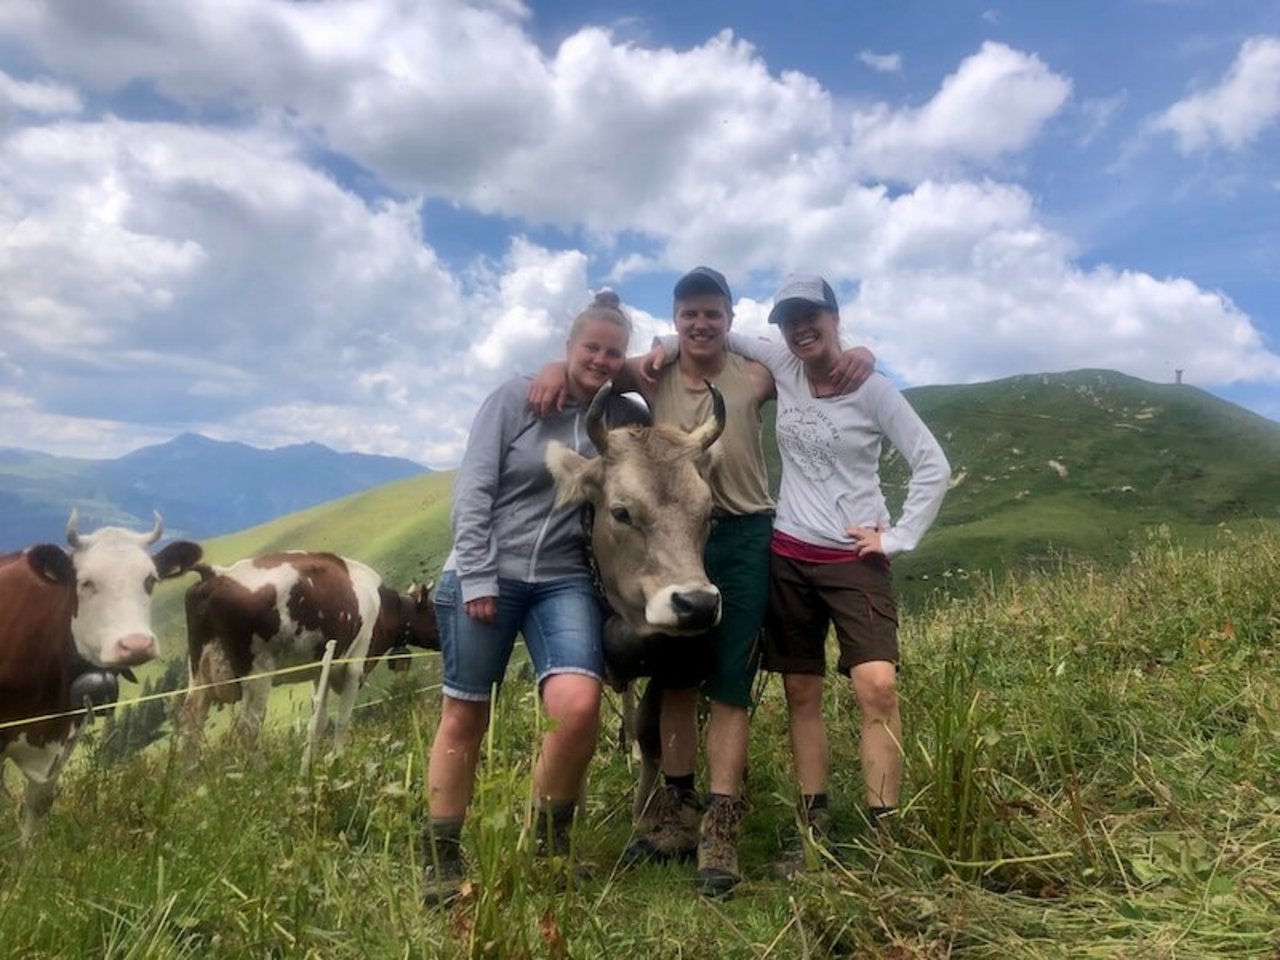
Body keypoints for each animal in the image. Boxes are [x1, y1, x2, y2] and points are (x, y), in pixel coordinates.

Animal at [180, 552, 440, 762]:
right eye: (435, 610)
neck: (383, 609)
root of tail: (217, 573)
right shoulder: (355, 666)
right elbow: (343, 718)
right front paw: (338, 758)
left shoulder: (323, 668)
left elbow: (318, 722)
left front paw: (311, 765)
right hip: (257, 670)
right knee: (249, 725)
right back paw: (262, 773)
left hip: (198, 674)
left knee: (190, 727)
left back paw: (190, 781)